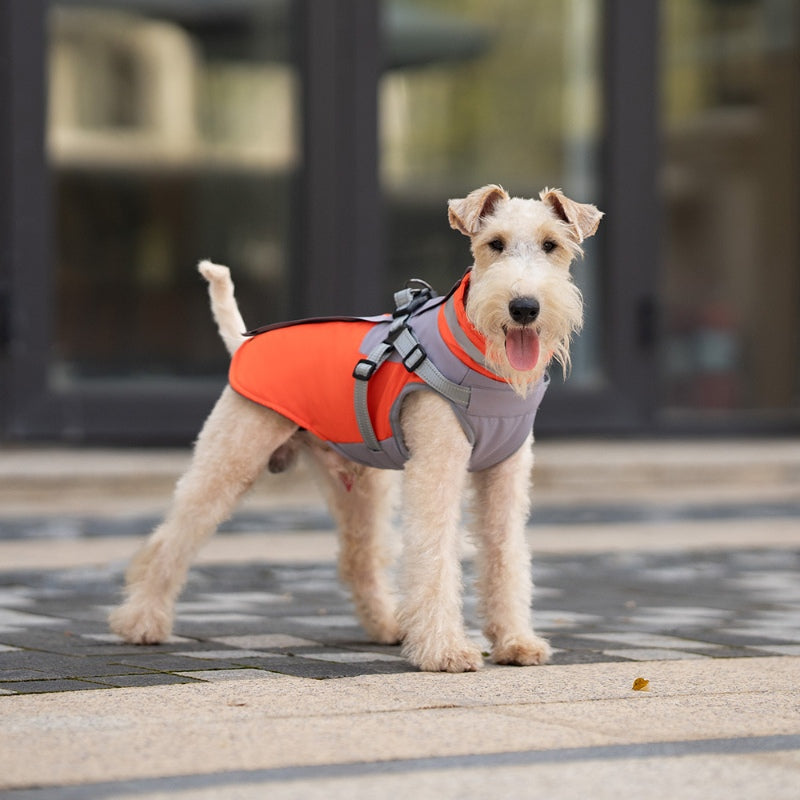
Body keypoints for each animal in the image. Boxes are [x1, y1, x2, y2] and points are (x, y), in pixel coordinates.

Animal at [109, 184, 604, 672]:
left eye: (552, 245)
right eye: (494, 244)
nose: (524, 308)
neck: (484, 362)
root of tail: (243, 344)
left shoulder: (506, 473)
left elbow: (506, 552)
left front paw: (517, 642)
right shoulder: (437, 466)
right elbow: (434, 551)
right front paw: (445, 650)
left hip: (361, 484)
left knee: (357, 558)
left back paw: (390, 626)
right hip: (230, 458)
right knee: (169, 541)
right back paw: (141, 622)